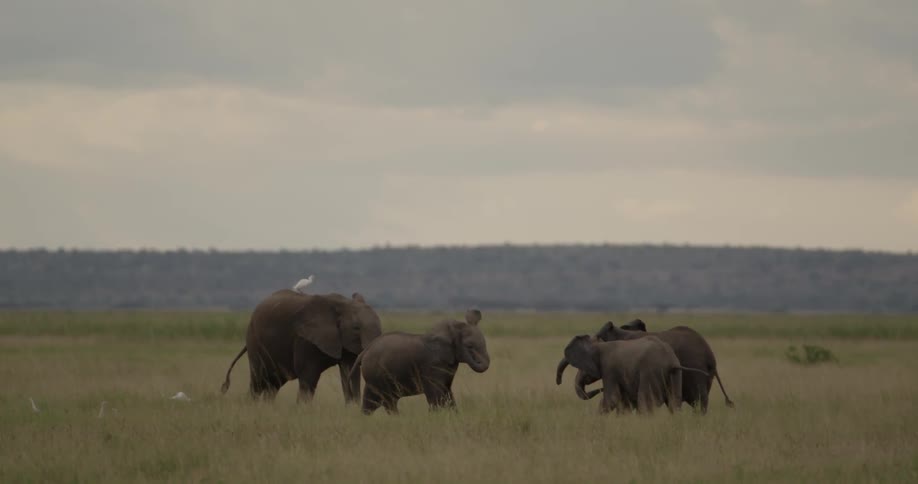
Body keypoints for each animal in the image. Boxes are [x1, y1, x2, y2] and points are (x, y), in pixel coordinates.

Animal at [220, 289, 382, 404]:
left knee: (274, 383)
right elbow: (308, 375)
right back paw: (252, 405)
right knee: (259, 379)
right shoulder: (304, 339)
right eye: (356, 328)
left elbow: (350, 372)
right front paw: (303, 411)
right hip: (254, 341)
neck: (343, 304)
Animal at [349, 309, 490, 415]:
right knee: (385, 401)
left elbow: (448, 393)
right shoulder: (431, 366)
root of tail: (364, 352)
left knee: (373, 402)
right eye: (469, 346)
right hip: (377, 374)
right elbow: (435, 395)